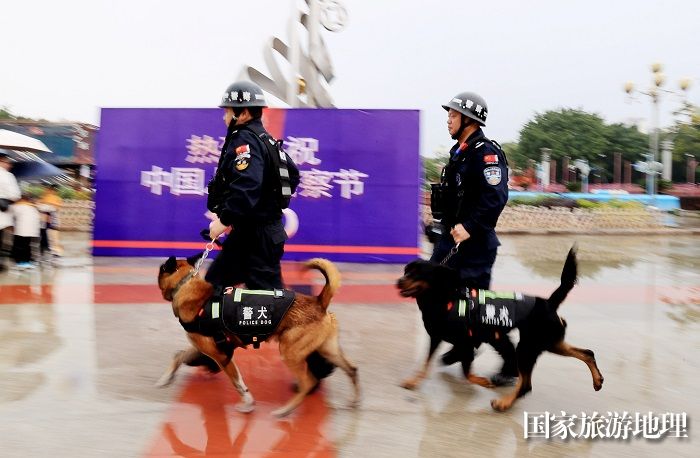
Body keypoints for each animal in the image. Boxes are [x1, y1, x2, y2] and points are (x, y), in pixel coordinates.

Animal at [396, 247, 604, 412]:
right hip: (549, 343)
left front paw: (482, 381)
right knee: (587, 353)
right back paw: (597, 380)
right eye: (406, 271)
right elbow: (426, 363)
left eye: (418, 274)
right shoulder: (437, 339)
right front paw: (414, 381)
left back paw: (504, 403)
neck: (444, 299)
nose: (399, 281)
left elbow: (466, 372)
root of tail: (549, 303)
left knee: (526, 384)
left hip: (527, 348)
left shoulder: (466, 343)